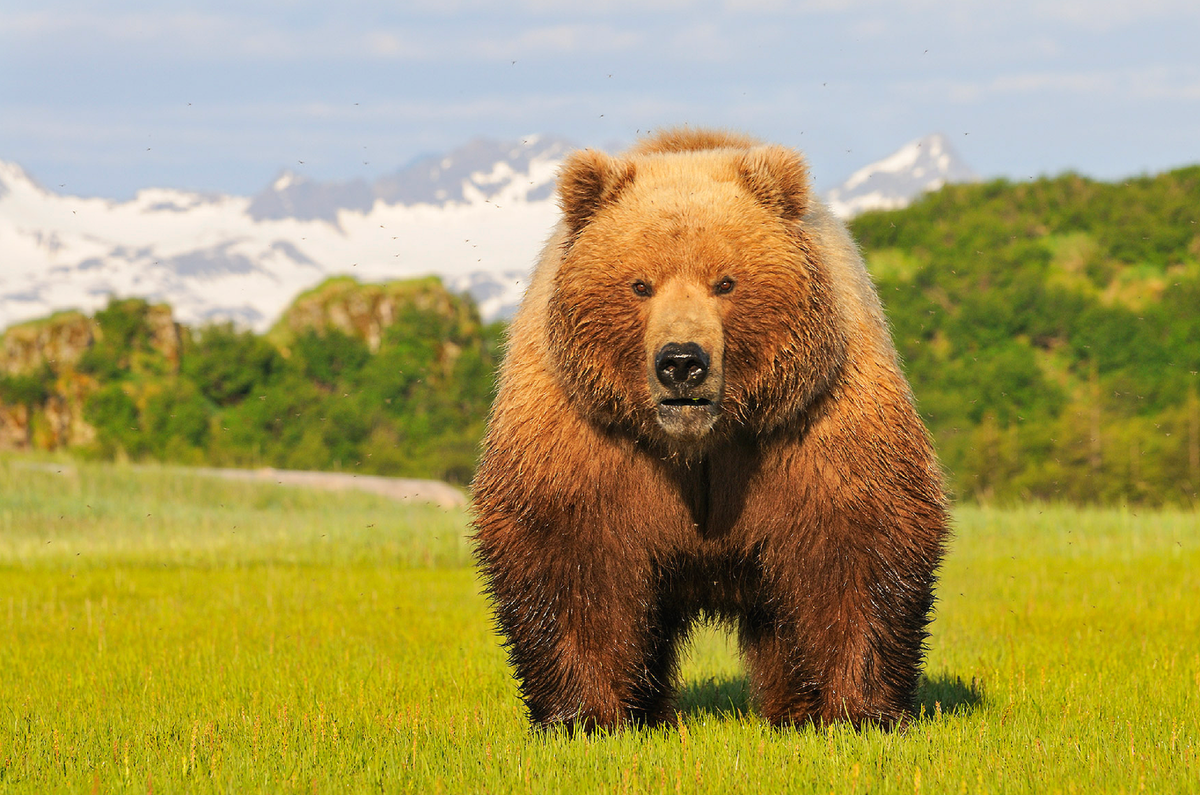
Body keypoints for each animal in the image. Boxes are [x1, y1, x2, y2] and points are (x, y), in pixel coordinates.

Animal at [471, 128, 948, 732]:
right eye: (640, 284)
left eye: (726, 281)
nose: (681, 362)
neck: (701, 443)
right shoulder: (586, 432)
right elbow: (568, 552)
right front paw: (583, 716)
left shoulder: (812, 423)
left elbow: (858, 539)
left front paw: (860, 711)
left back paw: (793, 710)